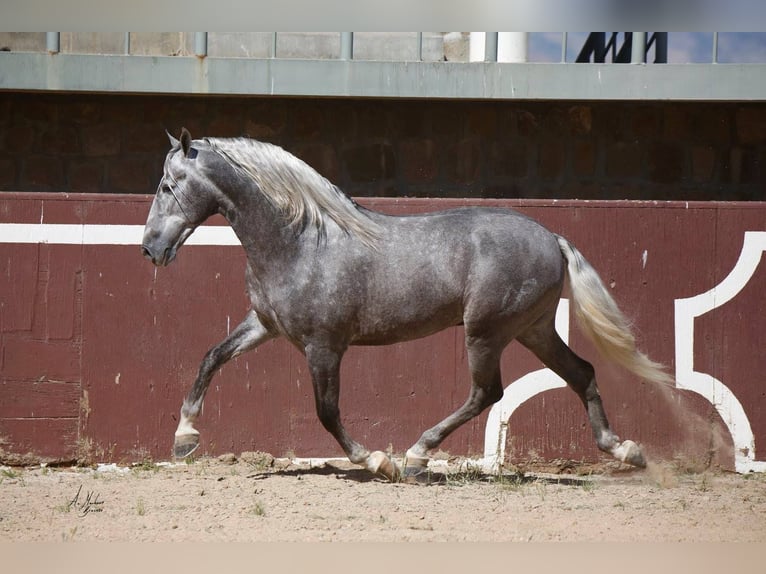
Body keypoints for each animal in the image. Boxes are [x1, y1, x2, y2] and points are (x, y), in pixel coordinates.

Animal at [141, 128, 671, 481]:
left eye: (169, 185)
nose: (150, 248)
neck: (300, 241)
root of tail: (552, 238)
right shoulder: (265, 325)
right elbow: (212, 357)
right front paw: (184, 437)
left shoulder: (323, 346)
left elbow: (326, 411)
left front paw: (378, 461)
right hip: (532, 328)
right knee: (580, 372)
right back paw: (625, 451)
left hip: (486, 332)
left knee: (487, 393)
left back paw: (417, 455)